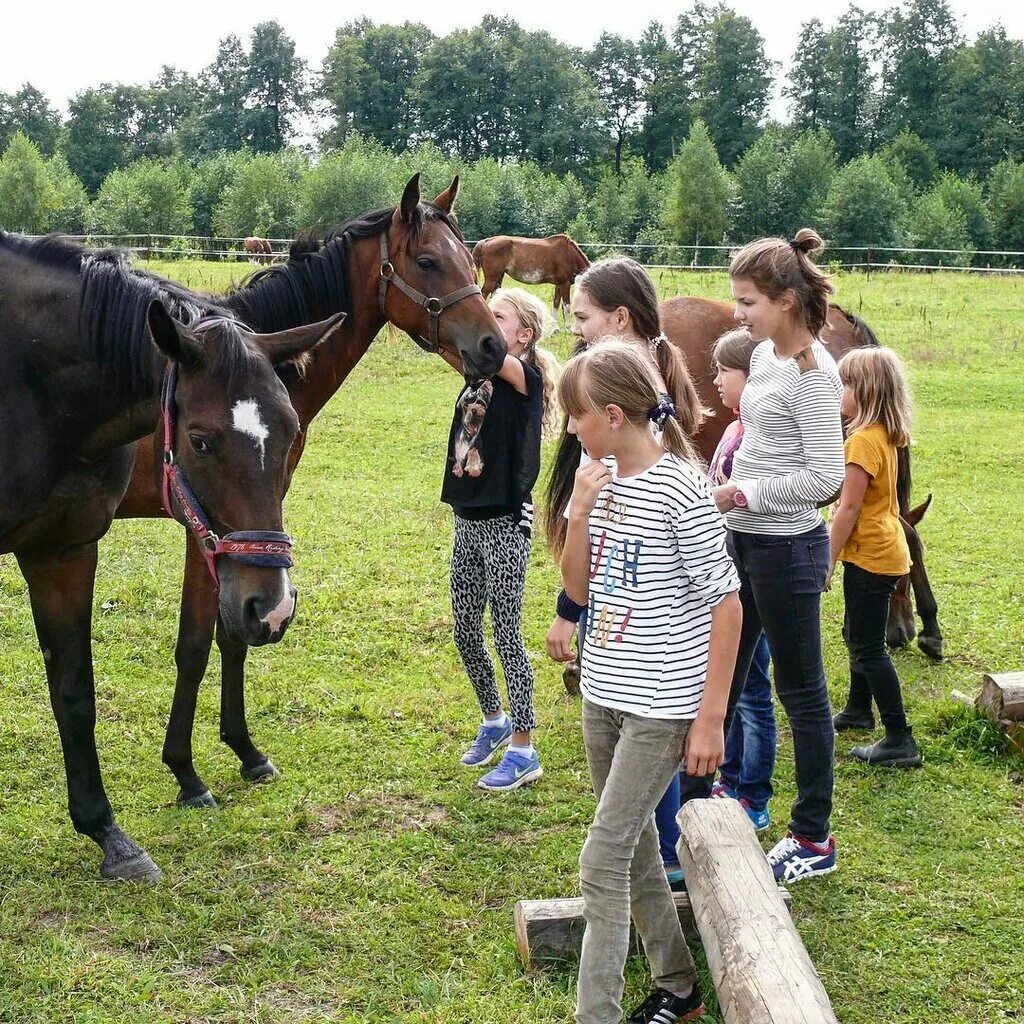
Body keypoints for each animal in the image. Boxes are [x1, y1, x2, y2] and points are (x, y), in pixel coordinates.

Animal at [0, 232, 342, 880]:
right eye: (201, 441)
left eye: (289, 432)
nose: (274, 609)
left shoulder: (63, 549)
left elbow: (75, 690)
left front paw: (107, 833)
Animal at [115, 176, 507, 811]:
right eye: (427, 262)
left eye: (470, 260)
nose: (495, 346)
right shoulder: (210, 531)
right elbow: (196, 645)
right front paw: (186, 772)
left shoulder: (246, 540)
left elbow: (234, 636)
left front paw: (245, 751)